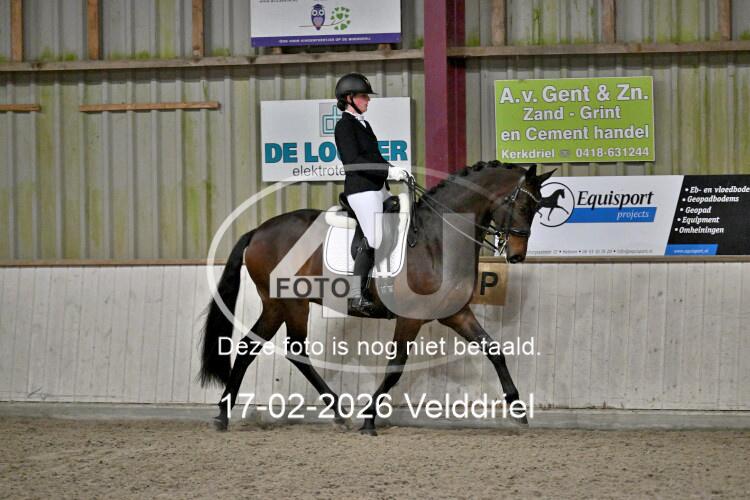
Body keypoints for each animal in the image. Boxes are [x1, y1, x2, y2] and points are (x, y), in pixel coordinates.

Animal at [199, 161, 553, 435]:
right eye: (523, 206)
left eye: (538, 208)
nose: (517, 256)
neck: (437, 242)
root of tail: (259, 231)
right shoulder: (410, 318)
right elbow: (395, 368)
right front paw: (369, 419)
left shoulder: (456, 314)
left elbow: (495, 351)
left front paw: (518, 409)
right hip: (291, 304)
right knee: (293, 350)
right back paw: (335, 412)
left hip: (276, 306)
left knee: (250, 348)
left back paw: (226, 414)